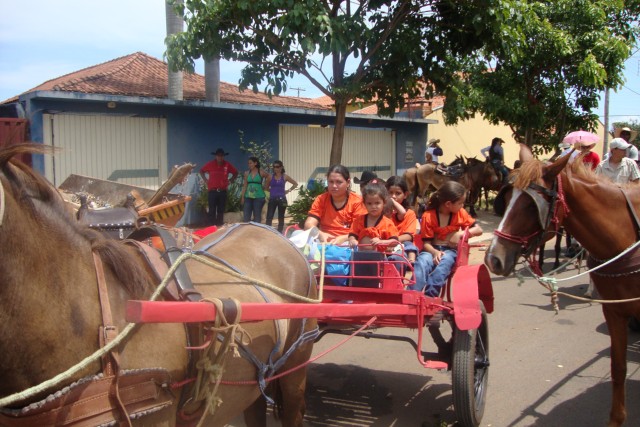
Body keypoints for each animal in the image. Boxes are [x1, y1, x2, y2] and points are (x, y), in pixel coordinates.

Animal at [484, 145, 640, 427]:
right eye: (508, 196)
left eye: (530, 205)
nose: (493, 259)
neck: (625, 235)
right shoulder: (614, 311)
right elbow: (618, 368)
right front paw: (616, 419)